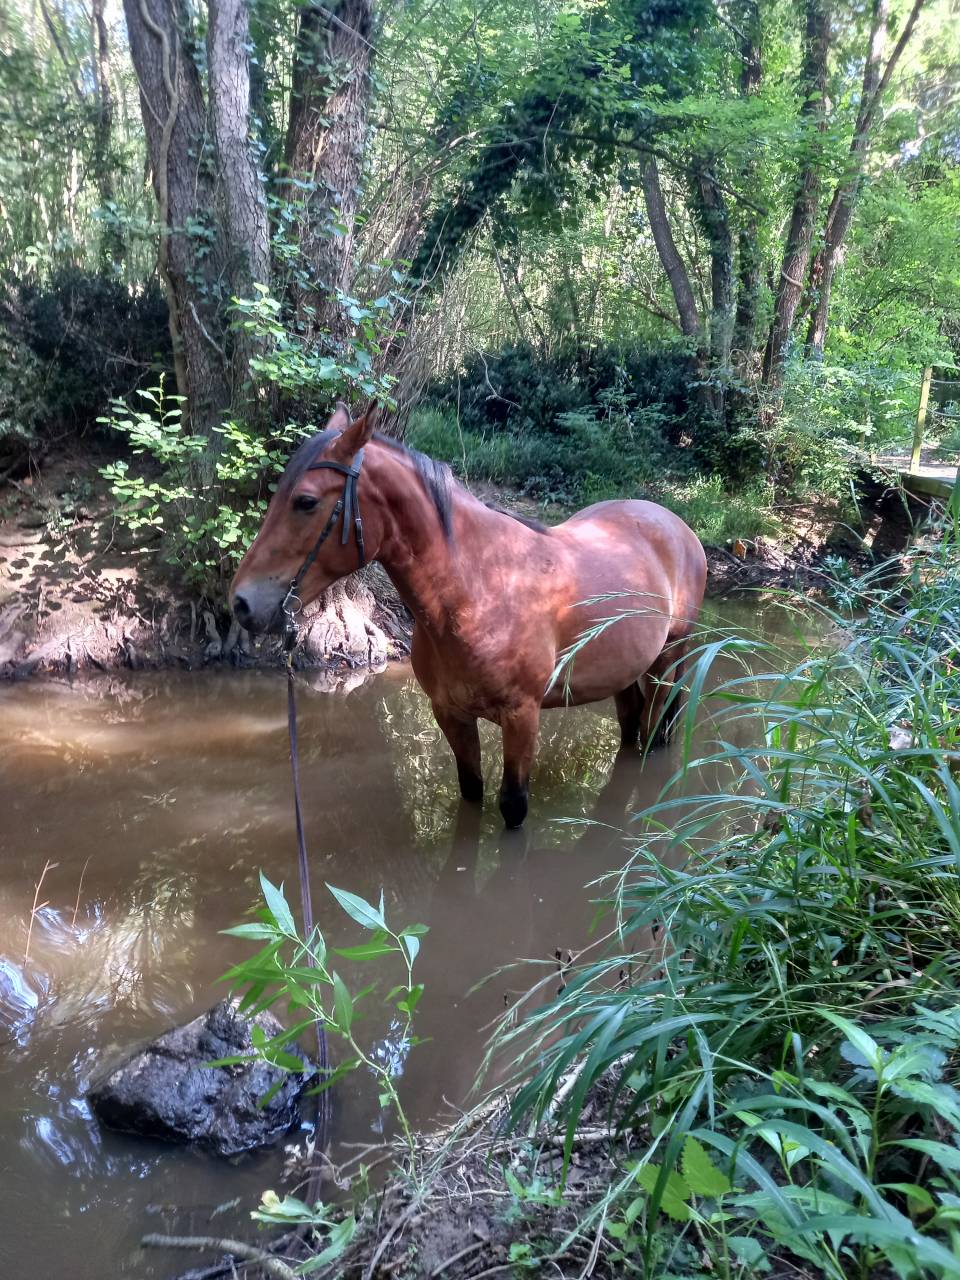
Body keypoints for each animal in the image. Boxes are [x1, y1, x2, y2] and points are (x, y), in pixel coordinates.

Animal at [230, 403, 707, 829]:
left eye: (306, 501)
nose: (242, 603)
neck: (479, 590)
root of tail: (675, 524)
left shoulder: (522, 717)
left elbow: (513, 805)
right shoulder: (450, 714)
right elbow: (470, 791)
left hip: (667, 663)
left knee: (654, 732)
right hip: (625, 673)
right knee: (630, 730)